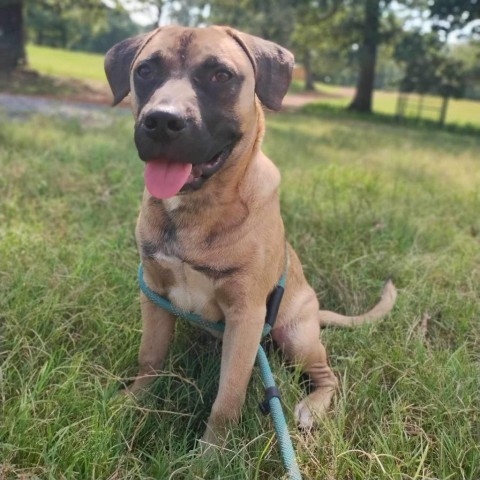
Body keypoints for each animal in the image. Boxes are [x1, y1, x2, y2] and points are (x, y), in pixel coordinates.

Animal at [103, 26, 396, 446]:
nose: (161, 121)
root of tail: (316, 312)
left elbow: (227, 397)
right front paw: (133, 402)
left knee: (328, 375)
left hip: (296, 336)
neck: (196, 208)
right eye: (145, 71)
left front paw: (211, 452)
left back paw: (311, 408)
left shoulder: (245, 317)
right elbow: (150, 358)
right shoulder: (154, 295)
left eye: (220, 75)